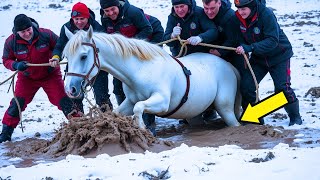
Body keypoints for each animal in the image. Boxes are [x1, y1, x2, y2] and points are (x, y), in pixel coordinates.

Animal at [63, 26, 241, 128]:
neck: (140, 70)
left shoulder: (162, 101)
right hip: (194, 112)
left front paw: (142, 128)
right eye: (67, 57)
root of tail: (229, 66)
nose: (70, 89)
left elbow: (139, 108)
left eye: (83, 56)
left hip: (225, 107)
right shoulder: (129, 102)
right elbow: (120, 111)